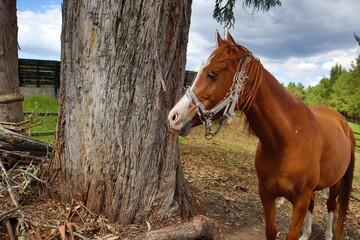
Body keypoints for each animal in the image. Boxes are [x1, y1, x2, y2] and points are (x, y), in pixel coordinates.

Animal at [168, 31, 354, 240]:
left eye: (212, 74)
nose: (174, 117)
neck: (287, 140)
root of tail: (344, 123)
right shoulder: (267, 194)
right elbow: (271, 231)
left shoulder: (300, 200)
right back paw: (306, 234)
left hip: (336, 183)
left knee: (331, 206)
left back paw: (328, 234)